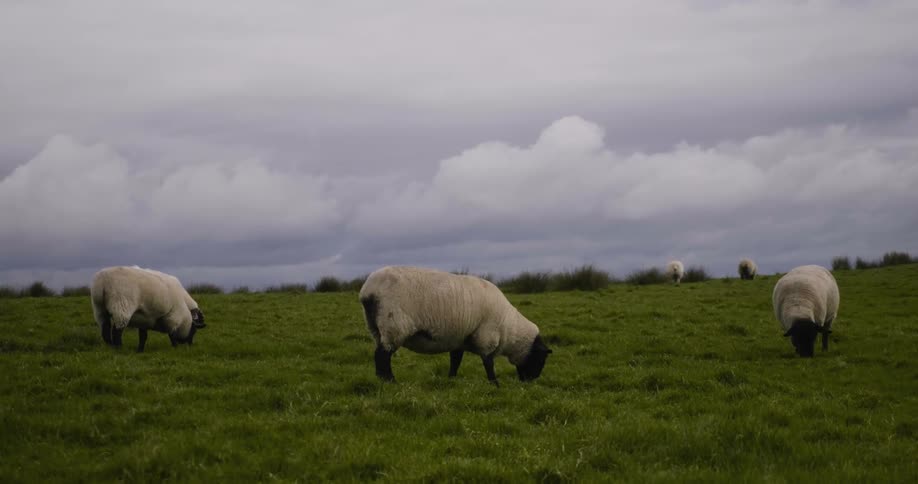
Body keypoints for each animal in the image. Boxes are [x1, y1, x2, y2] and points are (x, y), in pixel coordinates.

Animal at [359, 266, 552, 386]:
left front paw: (451, 379)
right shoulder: (486, 337)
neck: (509, 329)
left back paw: (383, 380)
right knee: (383, 355)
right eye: (541, 358)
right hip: (394, 324)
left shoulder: (459, 340)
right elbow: (488, 363)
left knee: (380, 354)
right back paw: (391, 382)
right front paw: (495, 384)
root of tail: (367, 291)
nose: (531, 381)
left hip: (376, 327)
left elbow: (455, 361)